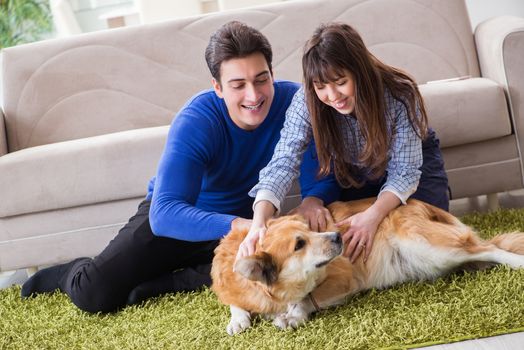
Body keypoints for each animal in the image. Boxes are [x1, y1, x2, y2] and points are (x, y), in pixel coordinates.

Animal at [211, 198, 524, 334]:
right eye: (299, 243)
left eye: (310, 230)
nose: (338, 236)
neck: (272, 292)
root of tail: (420, 203)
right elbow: (234, 303)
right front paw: (238, 319)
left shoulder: (343, 278)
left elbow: (308, 298)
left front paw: (293, 315)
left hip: (427, 246)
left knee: (489, 247)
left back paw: (516, 261)